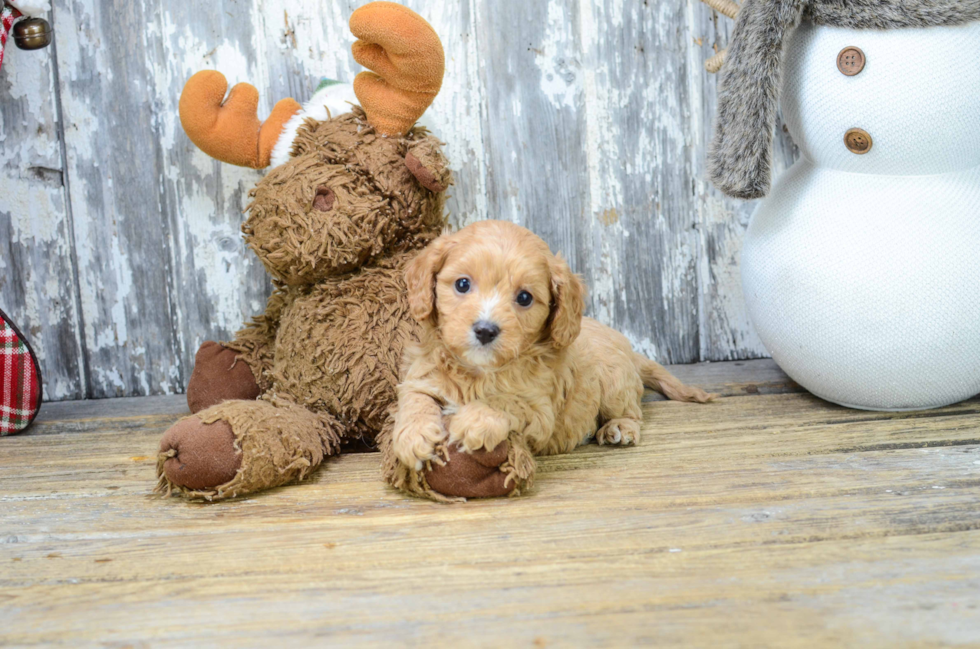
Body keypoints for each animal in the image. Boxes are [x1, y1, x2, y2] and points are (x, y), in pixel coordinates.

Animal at [386, 220, 716, 498]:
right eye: (462, 284)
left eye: (524, 298)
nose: (485, 330)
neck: (481, 371)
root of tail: (628, 348)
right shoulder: (422, 374)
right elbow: (415, 399)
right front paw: (414, 435)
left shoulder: (540, 411)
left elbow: (506, 402)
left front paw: (475, 419)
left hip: (614, 382)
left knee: (632, 412)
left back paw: (620, 428)